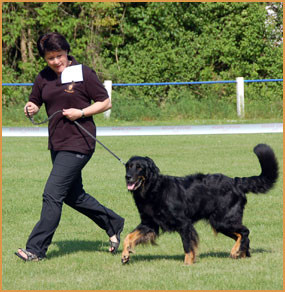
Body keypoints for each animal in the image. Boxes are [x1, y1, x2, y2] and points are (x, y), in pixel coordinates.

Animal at [121, 144, 278, 264]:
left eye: (139, 167)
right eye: (128, 166)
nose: (128, 177)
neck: (153, 189)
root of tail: (236, 182)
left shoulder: (184, 223)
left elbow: (187, 246)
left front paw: (188, 263)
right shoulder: (149, 223)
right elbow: (128, 236)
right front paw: (125, 254)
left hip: (222, 220)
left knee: (245, 232)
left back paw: (235, 251)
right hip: (222, 223)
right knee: (243, 236)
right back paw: (241, 254)